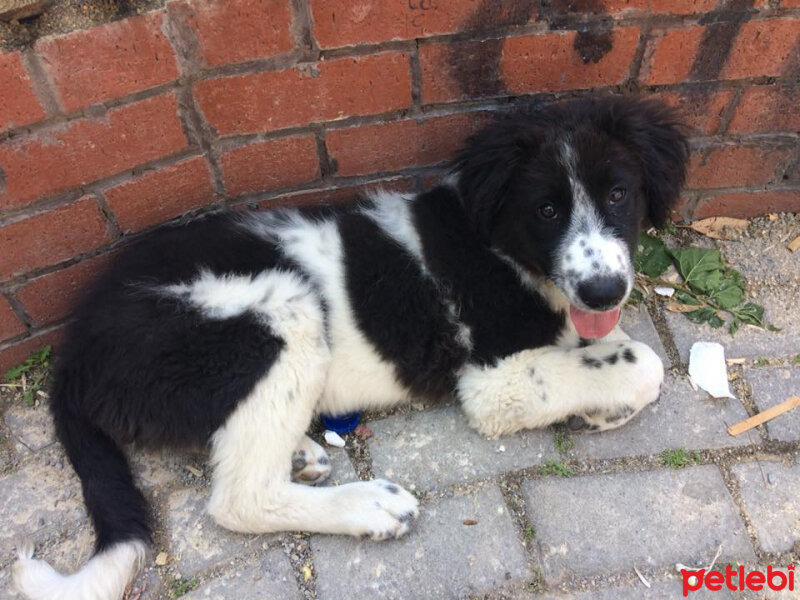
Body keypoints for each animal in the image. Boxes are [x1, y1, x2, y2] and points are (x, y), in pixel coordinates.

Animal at [12, 96, 688, 596]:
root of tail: (74, 354)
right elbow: (643, 363)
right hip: (281, 310)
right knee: (240, 498)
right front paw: (608, 398)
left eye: (618, 195)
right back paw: (366, 507)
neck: (498, 243)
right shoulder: (492, 380)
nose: (604, 290)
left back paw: (300, 452)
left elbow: (604, 342)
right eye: (547, 210)